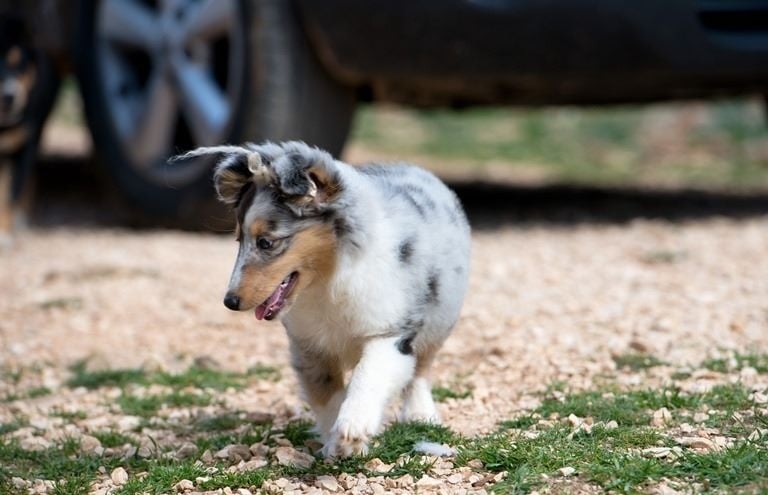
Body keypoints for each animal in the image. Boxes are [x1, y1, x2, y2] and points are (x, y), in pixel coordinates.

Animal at [176, 140, 472, 458]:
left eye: (266, 242)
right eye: (238, 240)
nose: (230, 302)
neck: (327, 282)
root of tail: (413, 167)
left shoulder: (390, 332)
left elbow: (369, 375)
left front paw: (353, 428)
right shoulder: (309, 346)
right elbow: (327, 395)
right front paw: (337, 445)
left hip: (440, 319)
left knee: (421, 369)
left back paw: (421, 414)